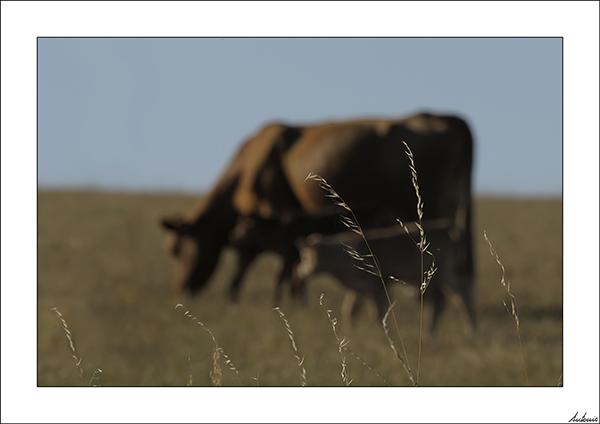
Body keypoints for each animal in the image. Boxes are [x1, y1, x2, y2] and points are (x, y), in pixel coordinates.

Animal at [159, 111, 474, 304]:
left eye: (178, 249)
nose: (181, 289)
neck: (248, 166)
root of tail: (443, 117)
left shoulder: (277, 219)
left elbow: (254, 263)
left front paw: (243, 297)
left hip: (432, 210)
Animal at [292, 222, 476, 332]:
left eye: (305, 257)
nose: (298, 272)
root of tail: (447, 227)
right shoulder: (359, 289)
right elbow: (350, 311)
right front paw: (352, 333)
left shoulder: (379, 285)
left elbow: (378, 313)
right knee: (445, 302)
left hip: (445, 274)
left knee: (458, 299)